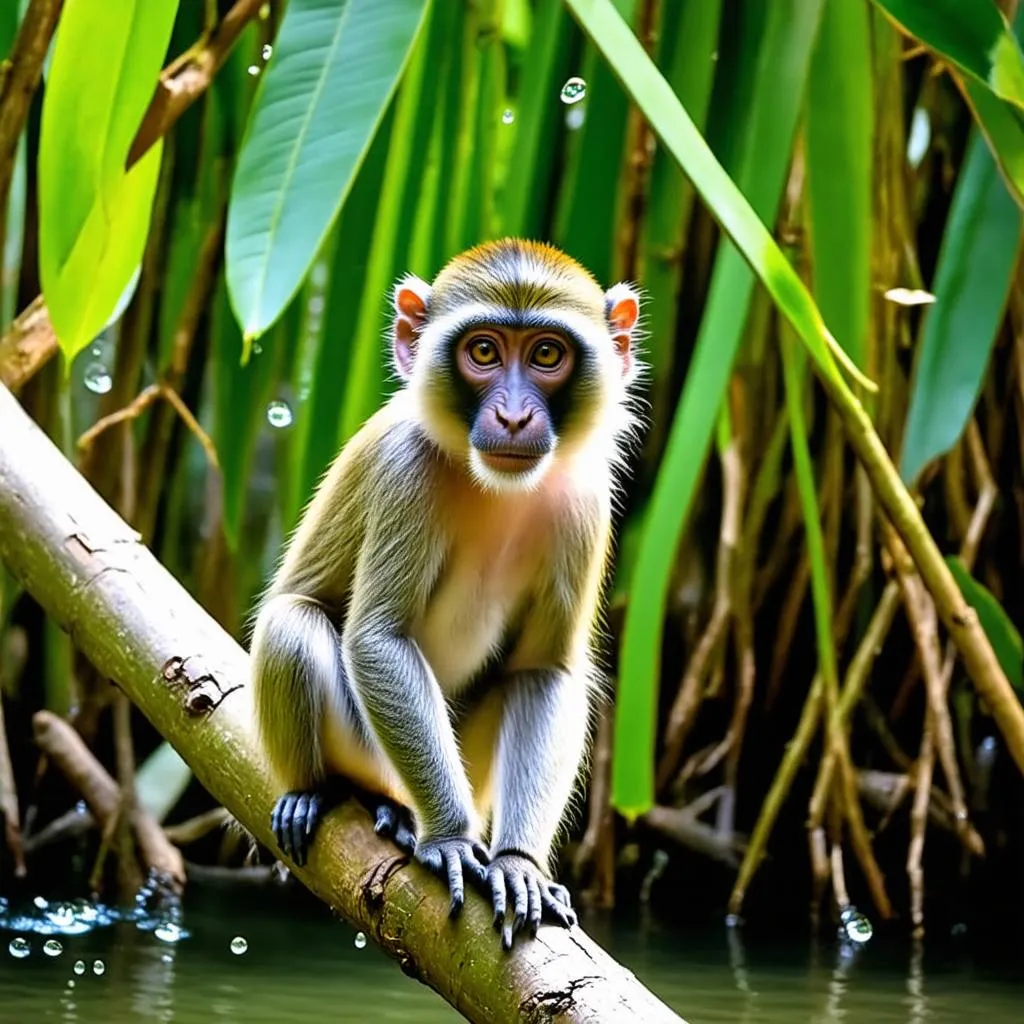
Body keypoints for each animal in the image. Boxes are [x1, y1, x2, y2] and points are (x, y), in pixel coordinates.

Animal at [248, 235, 643, 946]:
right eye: (483, 352)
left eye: (547, 354)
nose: (512, 416)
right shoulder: (408, 471)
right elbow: (378, 640)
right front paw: (455, 840)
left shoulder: (584, 500)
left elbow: (542, 672)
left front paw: (520, 864)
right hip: (368, 751)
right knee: (294, 623)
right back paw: (340, 795)